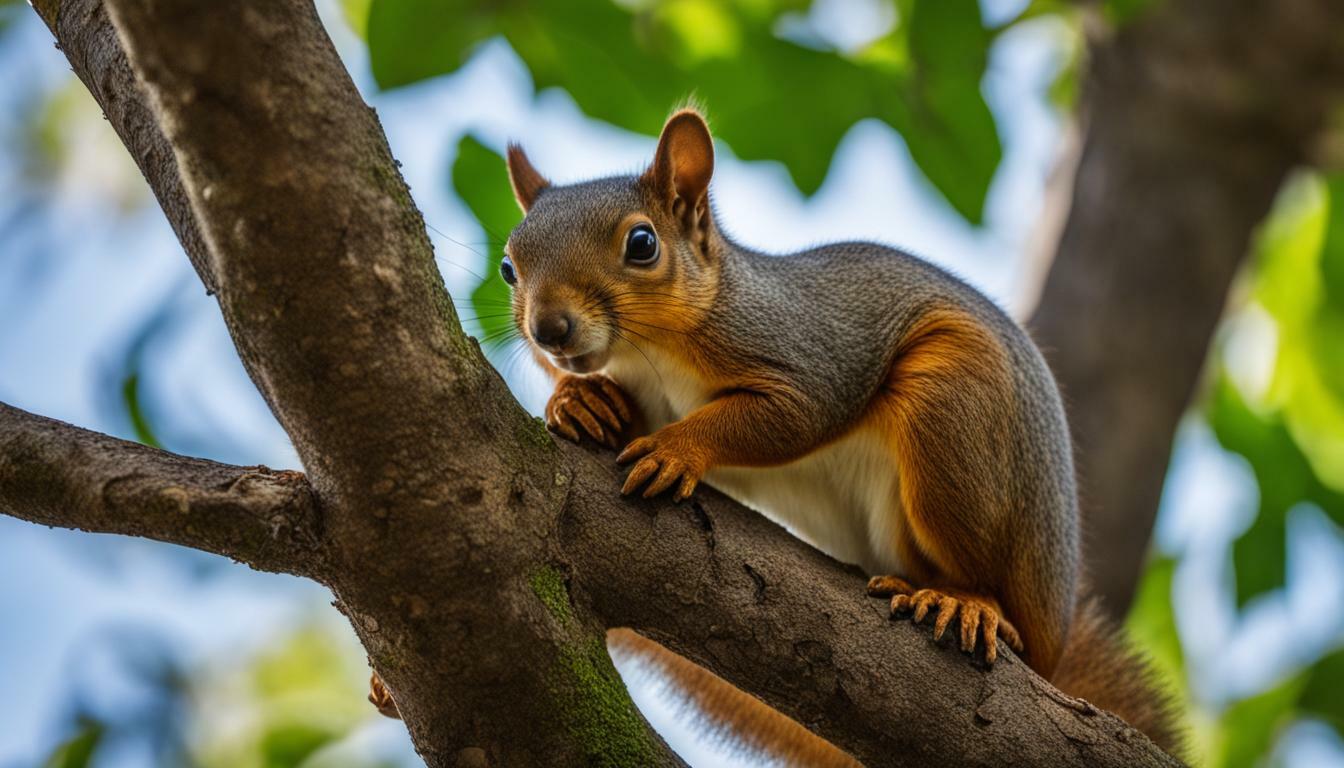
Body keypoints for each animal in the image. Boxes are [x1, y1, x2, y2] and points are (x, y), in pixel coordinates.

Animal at [365, 106, 1177, 763]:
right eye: (508, 267)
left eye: (641, 244)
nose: (549, 330)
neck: (653, 353)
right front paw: (576, 402)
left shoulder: (804, 354)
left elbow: (782, 416)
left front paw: (676, 448)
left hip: (957, 415)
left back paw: (966, 601)